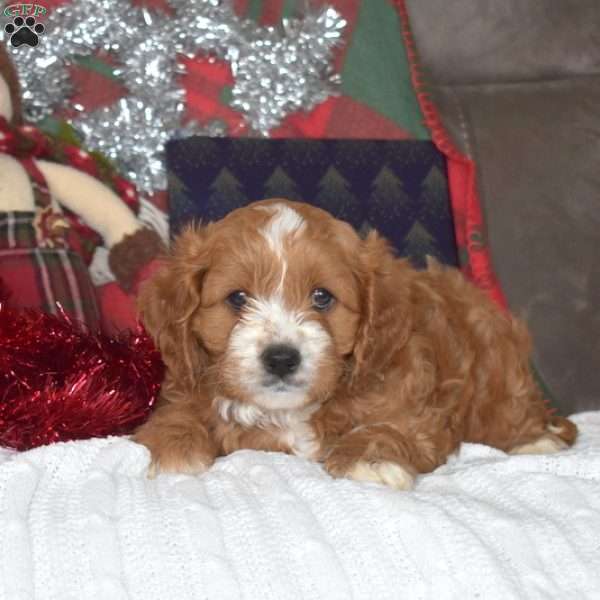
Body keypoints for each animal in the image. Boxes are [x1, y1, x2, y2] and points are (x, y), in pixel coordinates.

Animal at [134, 199, 576, 490]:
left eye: (322, 297)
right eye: (238, 299)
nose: (281, 358)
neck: (290, 413)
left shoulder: (415, 410)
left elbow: (386, 427)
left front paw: (368, 459)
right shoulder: (186, 382)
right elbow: (177, 414)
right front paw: (169, 449)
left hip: (495, 363)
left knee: (508, 410)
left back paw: (534, 440)